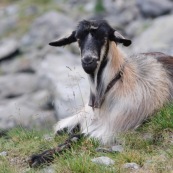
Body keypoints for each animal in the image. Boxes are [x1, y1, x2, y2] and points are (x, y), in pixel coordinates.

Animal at [28, 19, 173, 167]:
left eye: (104, 37)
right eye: (78, 38)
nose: (88, 61)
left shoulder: (112, 130)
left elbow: (77, 138)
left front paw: (39, 157)